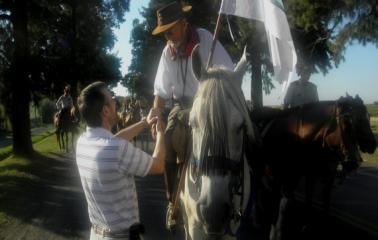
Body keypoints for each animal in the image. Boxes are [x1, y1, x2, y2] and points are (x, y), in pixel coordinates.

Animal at [250, 94, 376, 240]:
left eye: (368, 117)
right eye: (346, 123)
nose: (373, 145)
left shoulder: (303, 178)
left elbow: (292, 206)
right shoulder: (275, 181)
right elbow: (275, 212)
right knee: (257, 188)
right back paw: (256, 217)